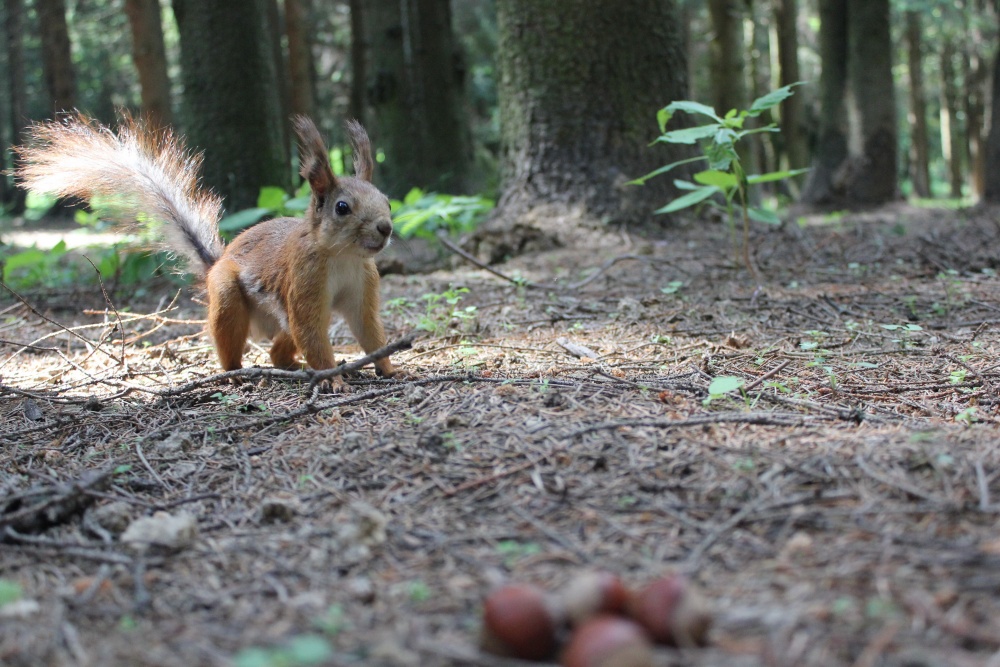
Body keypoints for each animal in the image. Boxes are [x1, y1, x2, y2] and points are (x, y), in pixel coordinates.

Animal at [15, 112, 407, 391]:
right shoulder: (305, 278)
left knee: (279, 349)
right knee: (236, 343)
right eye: (342, 207)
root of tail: (216, 263)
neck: (343, 256)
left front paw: (390, 368)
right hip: (229, 297)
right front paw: (332, 378)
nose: (385, 228)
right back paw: (236, 374)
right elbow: (312, 334)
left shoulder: (363, 285)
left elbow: (369, 330)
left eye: (388, 201)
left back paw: (293, 365)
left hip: (279, 321)